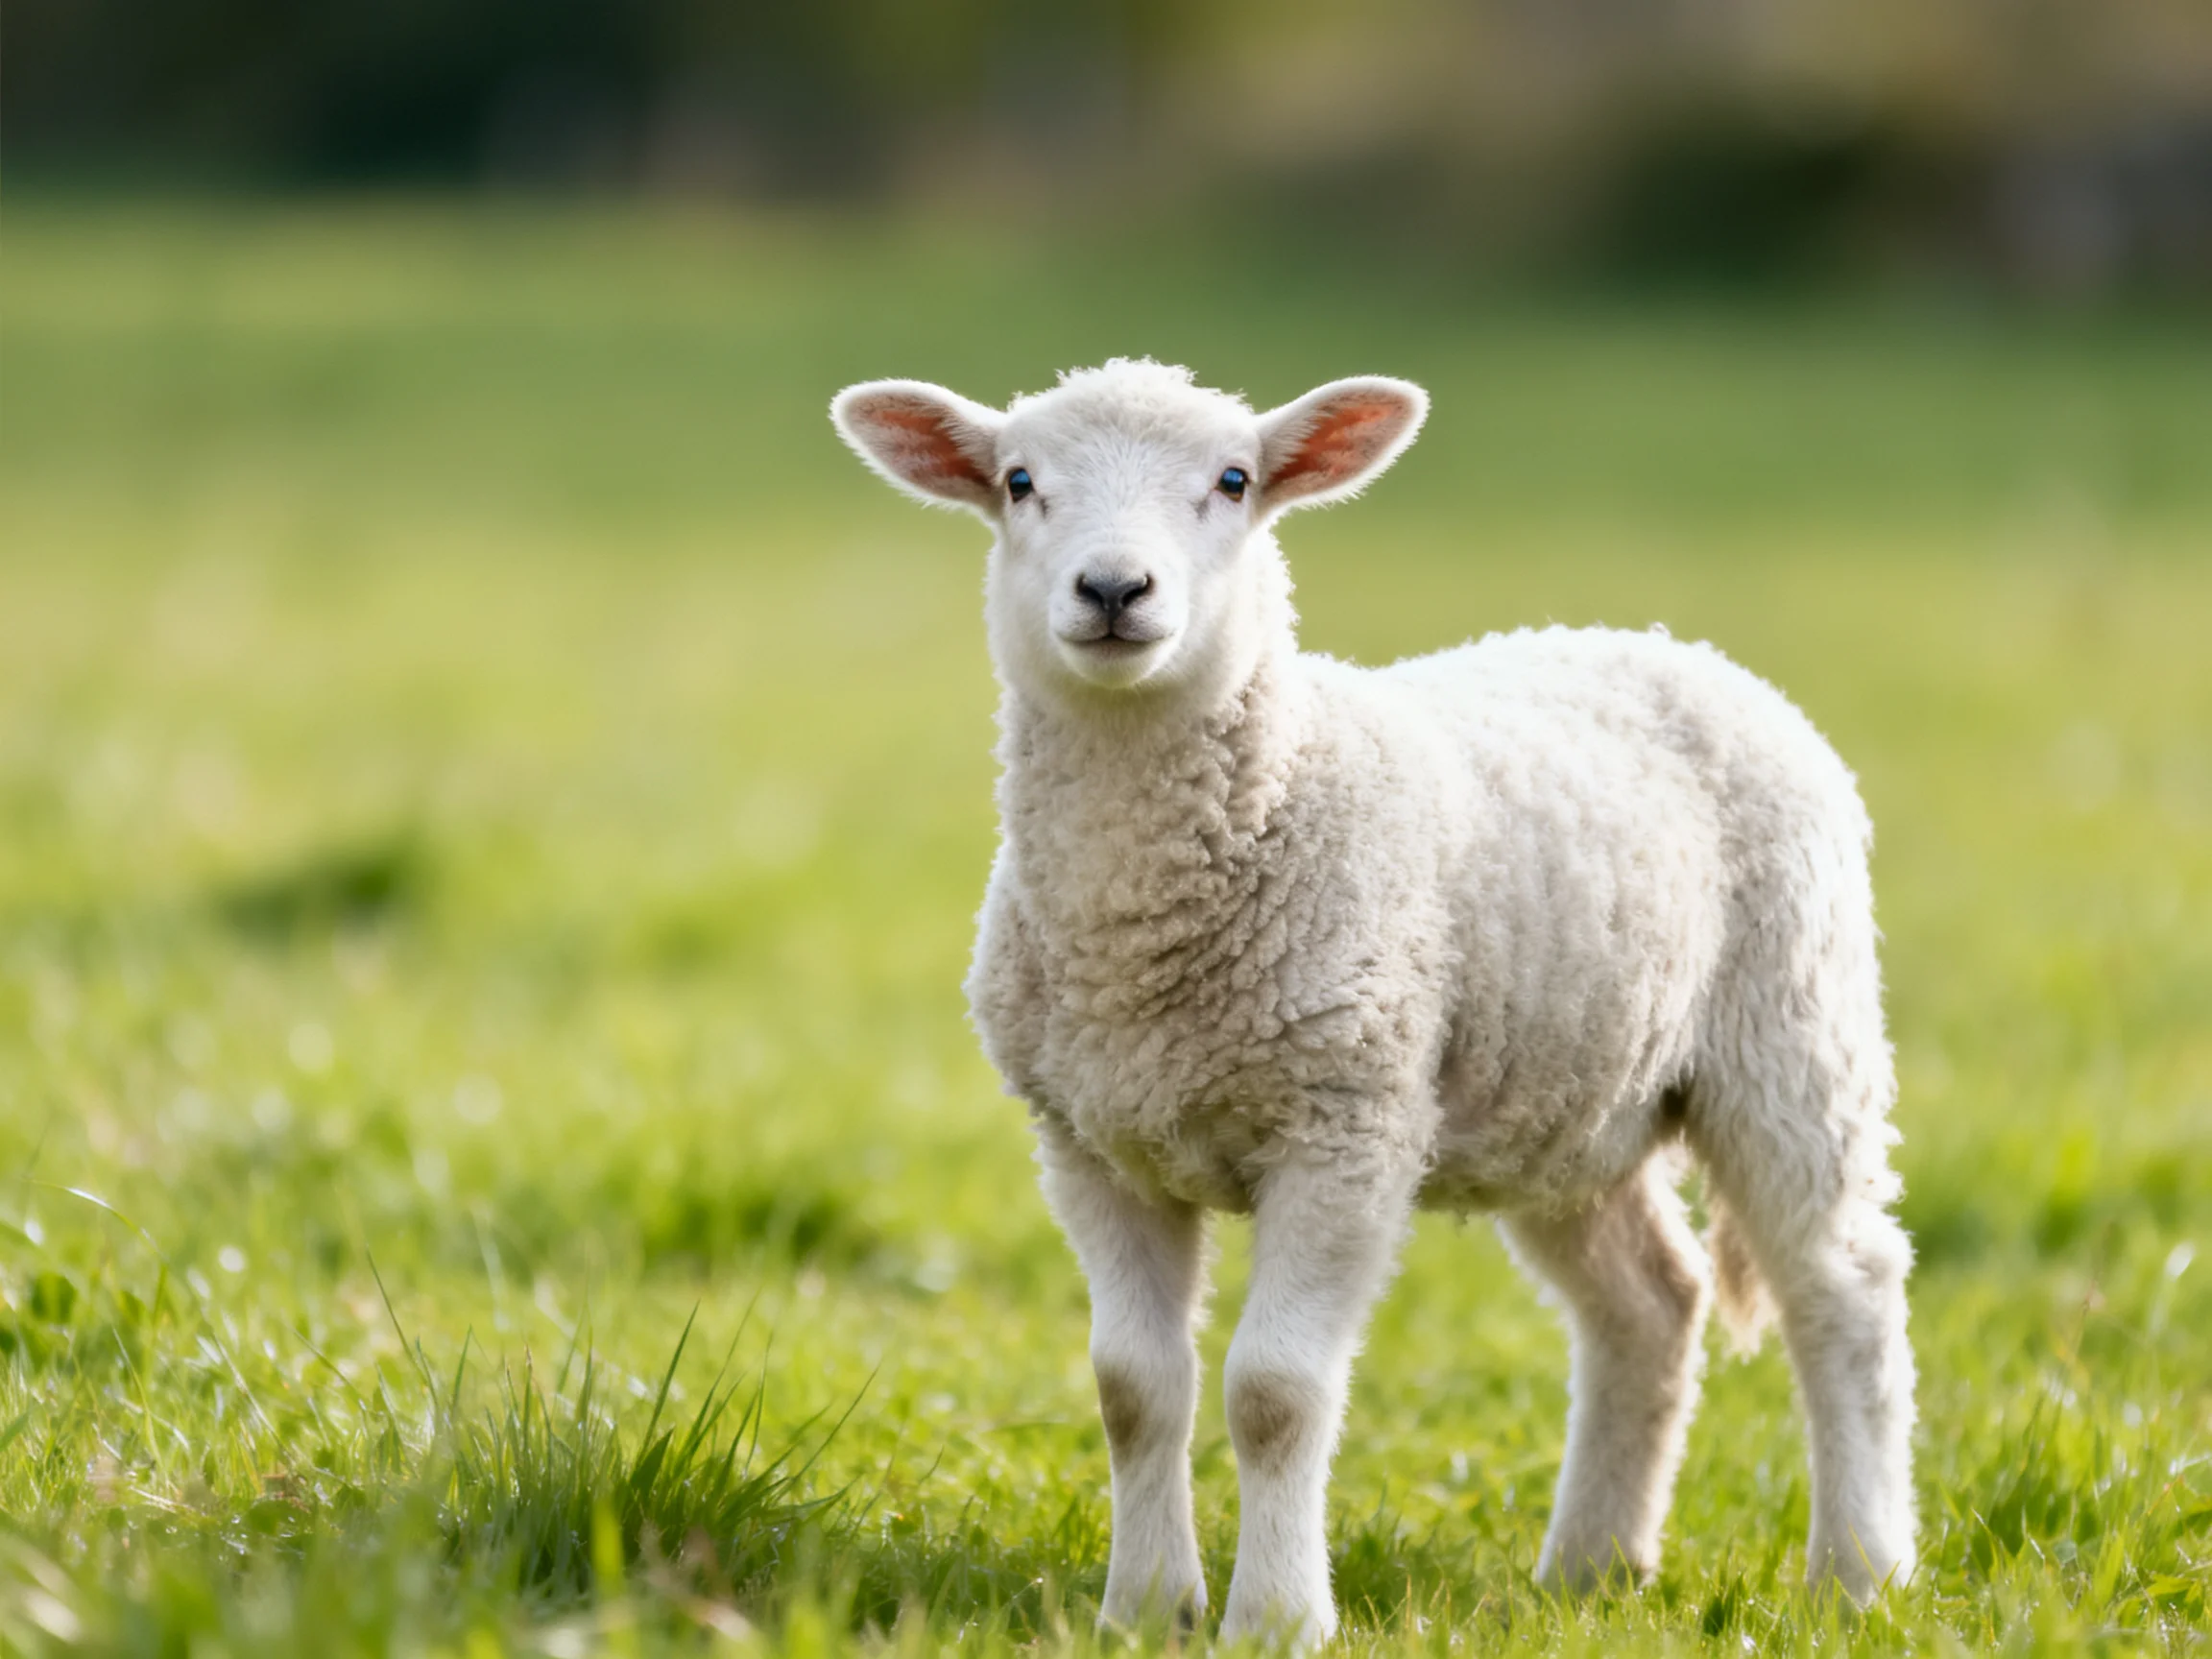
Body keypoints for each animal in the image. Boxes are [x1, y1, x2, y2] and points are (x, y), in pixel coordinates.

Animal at [830, 359, 1916, 1646]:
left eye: (1233, 480)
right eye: (1017, 482)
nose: (1113, 589)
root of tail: (1664, 643)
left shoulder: (1345, 1123)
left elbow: (1275, 1393)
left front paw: (1276, 1621)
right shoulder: (1091, 1142)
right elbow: (1135, 1388)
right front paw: (1144, 1610)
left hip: (1792, 1024)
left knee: (1844, 1287)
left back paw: (1860, 1573)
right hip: (1568, 1099)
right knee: (1650, 1302)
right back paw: (1594, 1567)